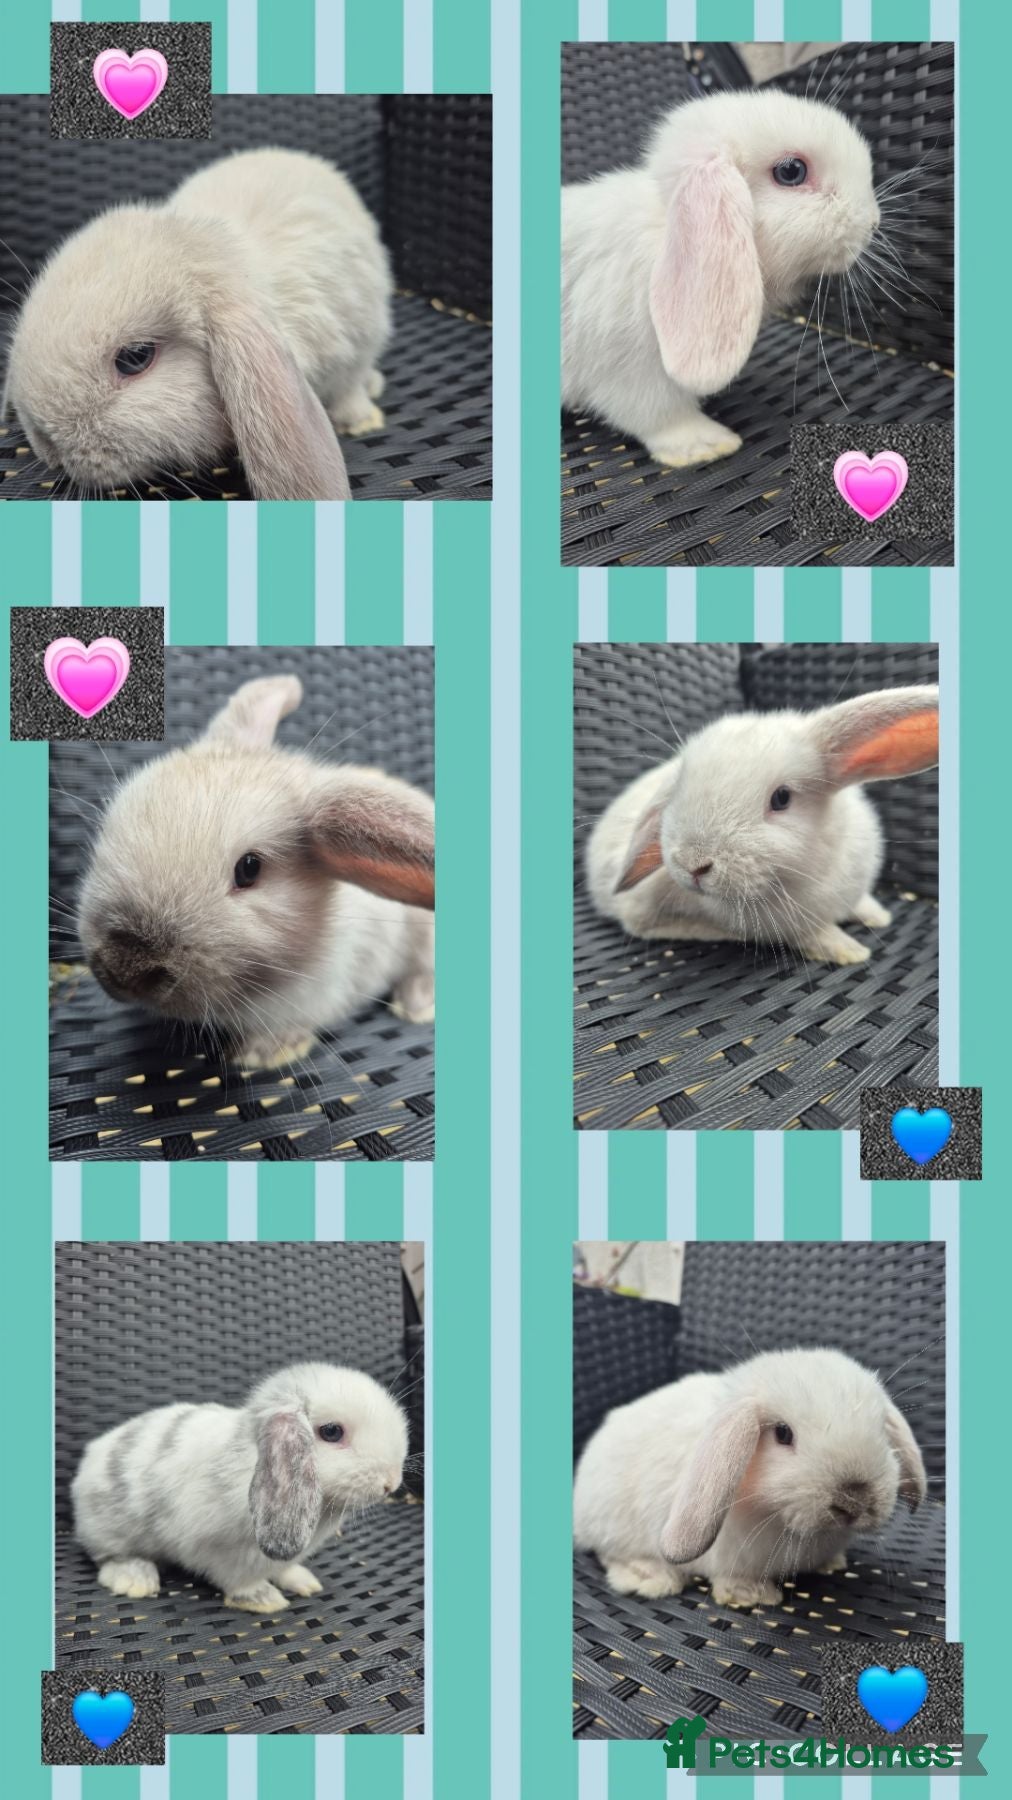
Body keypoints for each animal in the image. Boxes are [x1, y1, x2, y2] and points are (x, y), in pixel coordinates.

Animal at [72, 1362, 408, 1613]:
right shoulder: (218, 1552)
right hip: (110, 1531)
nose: (391, 1483)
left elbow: (283, 1568)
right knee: (108, 1557)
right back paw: (134, 1579)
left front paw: (303, 1581)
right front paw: (264, 1600)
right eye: (332, 1432)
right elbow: (237, 1581)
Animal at [562, 89, 880, 466]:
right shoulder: (632, 372)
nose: (873, 222)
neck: (665, 232)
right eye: (791, 171)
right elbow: (660, 416)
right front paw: (708, 444)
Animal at [574, 1347, 927, 1609]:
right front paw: (751, 1596)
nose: (854, 1500)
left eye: (881, 1430)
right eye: (783, 1433)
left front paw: (833, 1563)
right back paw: (652, 1578)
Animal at [586, 684, 938, 966]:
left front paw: (878, 915)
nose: (692, 864)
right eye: (678, 787)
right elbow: (810, 934)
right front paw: (848, 950)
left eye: (781, 798)